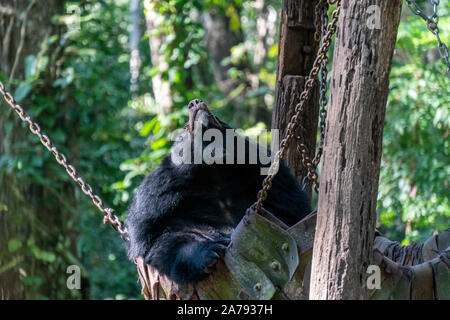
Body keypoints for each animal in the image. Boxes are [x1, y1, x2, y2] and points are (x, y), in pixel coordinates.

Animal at [125, 99, 312, 284]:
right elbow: (158, 238)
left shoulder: (271, 175)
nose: (195, 102)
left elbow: (290, 209)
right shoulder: (158, 195)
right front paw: (211, 252)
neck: (215, 170)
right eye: (186, 127)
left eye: (218, 118)